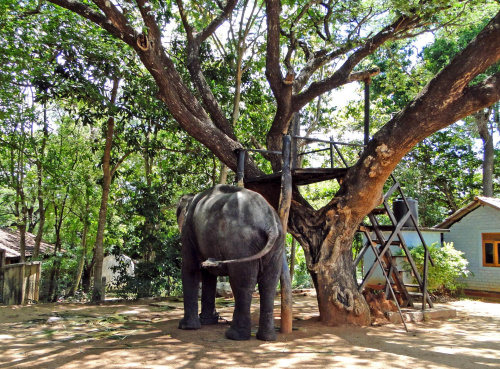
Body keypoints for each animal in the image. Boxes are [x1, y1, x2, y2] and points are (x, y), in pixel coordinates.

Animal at [177, 184, 286, 340]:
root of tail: (270, 222)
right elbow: (208, 275)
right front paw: (207, 321)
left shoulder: (188, 228)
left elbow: (190, 268)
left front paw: (186, 327)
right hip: (277, 245)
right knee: (269, 284)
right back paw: (267, 337)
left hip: (241, 242)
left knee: (242, 283)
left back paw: (234, 335)